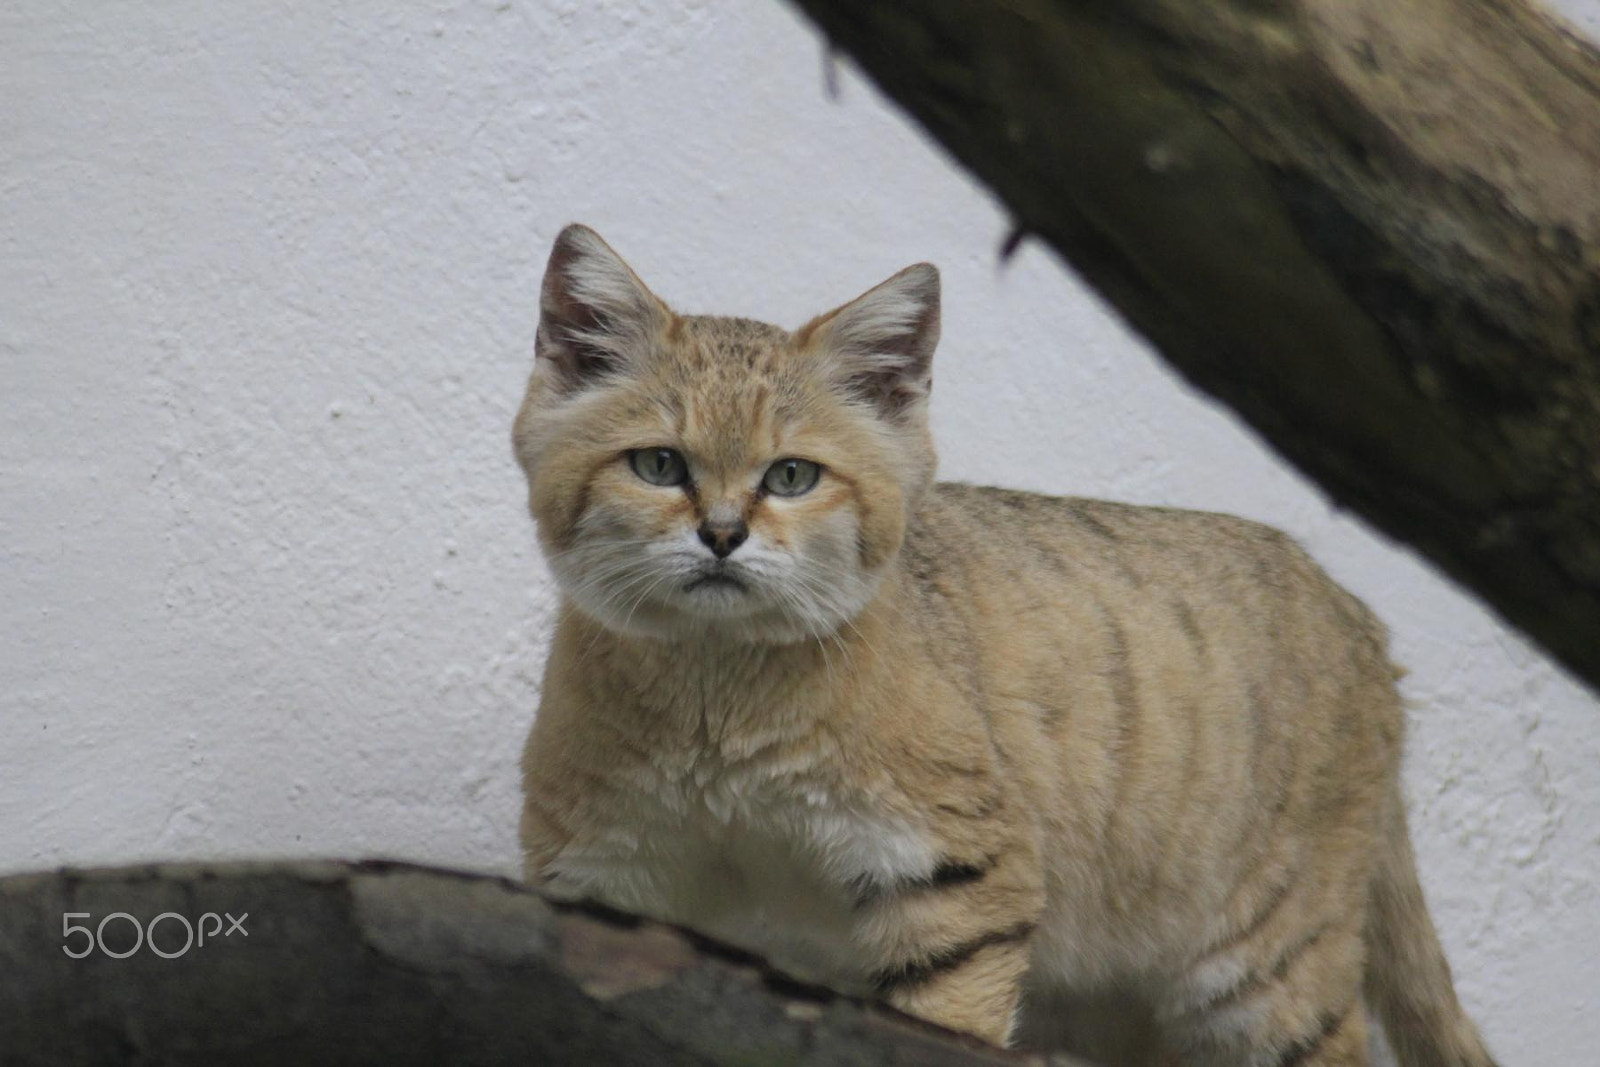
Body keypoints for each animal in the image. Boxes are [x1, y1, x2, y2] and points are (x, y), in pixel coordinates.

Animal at [512, 220, 1497, 1062]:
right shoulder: (607, 880)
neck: (716, 706)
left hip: (1268, 971)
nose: (721, 534)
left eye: (791, 476)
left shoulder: (960, 879)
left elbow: (943, 1026)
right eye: (658, 465)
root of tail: (1364, 622)